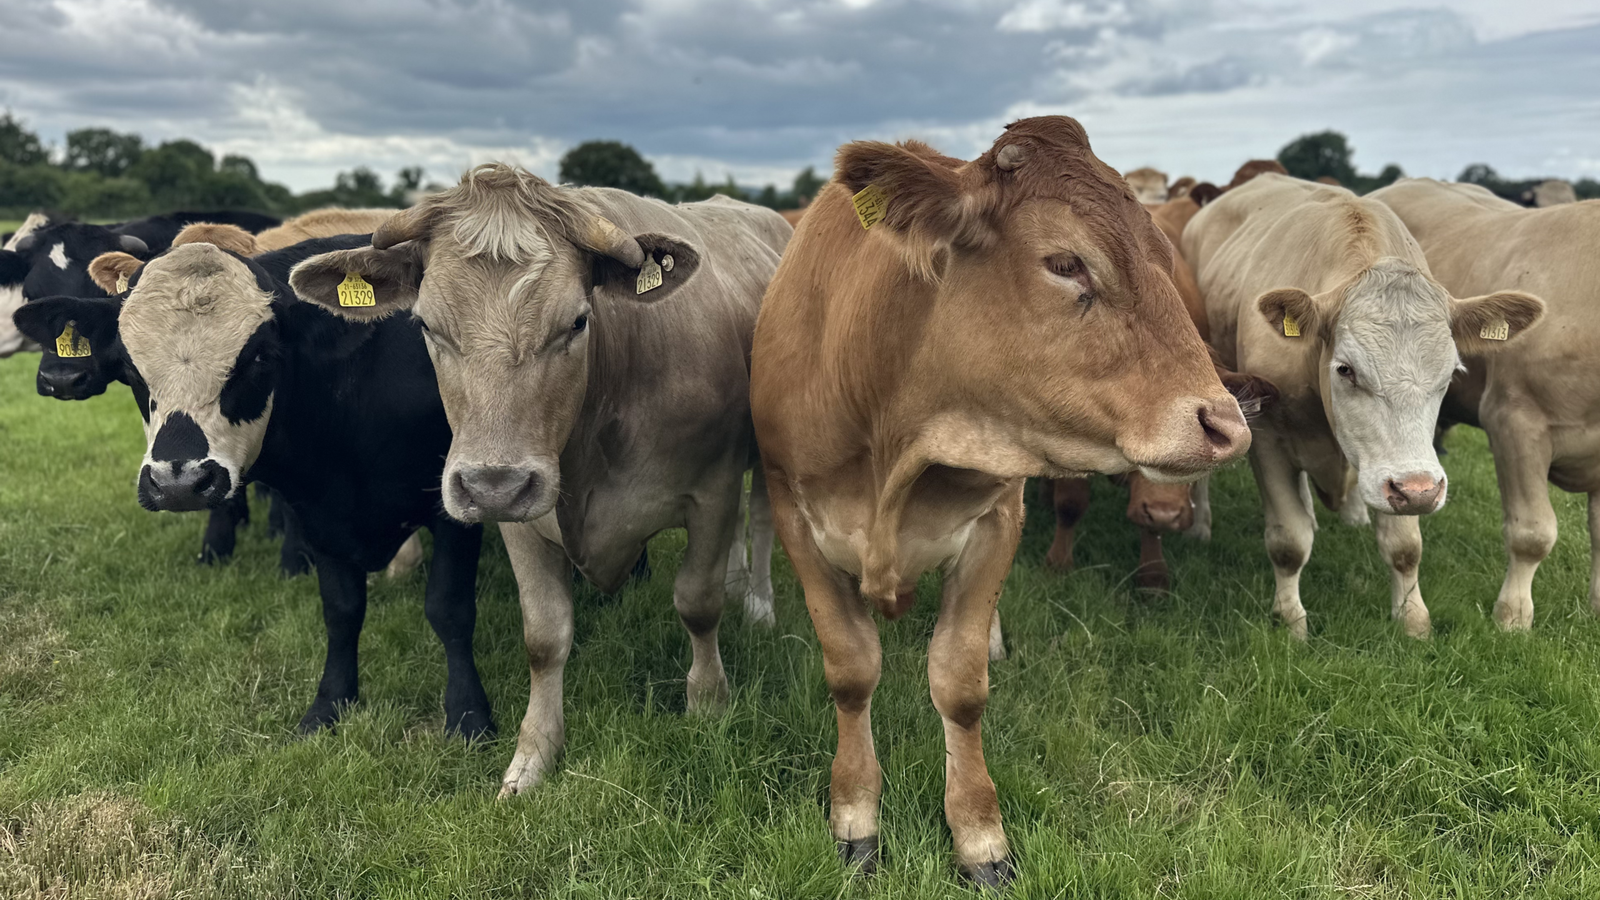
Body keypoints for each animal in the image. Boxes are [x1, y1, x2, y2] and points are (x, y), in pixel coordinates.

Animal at [77, 225, 494, 736]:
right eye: (130, 369)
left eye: (258, 357)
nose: (178, 483)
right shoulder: (320, 513)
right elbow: (341, 611)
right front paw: (331, 703)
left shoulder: (456, 507)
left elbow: (449, 609)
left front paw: (469, 714)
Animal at [287, 163, 787, 796]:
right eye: (426, 325)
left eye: (576, 321)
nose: (492, 485)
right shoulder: (522, 523)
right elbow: (545, 638)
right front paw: (533, 756)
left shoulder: (712, 491)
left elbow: (697, 603)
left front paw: (708, 707)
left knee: (763, 521)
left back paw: (759, 605)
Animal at [748, 116, 1252, 885]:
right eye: (1066, 263)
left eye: (1164, 254)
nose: (1225, 424)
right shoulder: (796, 520)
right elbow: (852, 670)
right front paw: (855, 816)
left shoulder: (995, 521)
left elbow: (959, 684)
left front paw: (978, 835)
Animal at [1185, 173, 1543, 638]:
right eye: (1346, 369)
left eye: (1451, 374)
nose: (1419, 491)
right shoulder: (1266, 438)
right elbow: (1288, 542)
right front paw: (1291, 621)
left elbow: (1405, 547)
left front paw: (1412, 620)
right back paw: (1200, 526)